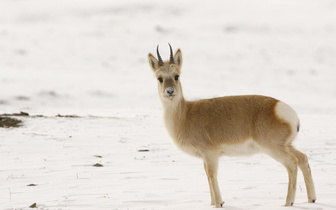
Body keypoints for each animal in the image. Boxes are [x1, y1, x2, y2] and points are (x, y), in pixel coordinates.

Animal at [147, 43, 316, 208]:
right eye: (160, 78)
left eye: (177, 76)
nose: (170, 91)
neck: (186, 114)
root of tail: (280, 107)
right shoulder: (205, 156)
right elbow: (207, 174)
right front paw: (212, 203)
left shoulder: (210, 154)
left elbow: (211, 174)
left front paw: (219, 203)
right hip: (287, 145)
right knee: (303, 158)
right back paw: (311, 199)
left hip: (274, 148)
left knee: (292, 163)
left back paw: (288, 202)